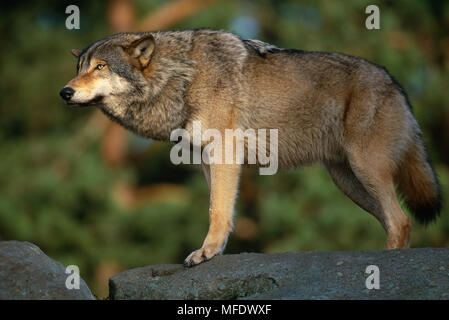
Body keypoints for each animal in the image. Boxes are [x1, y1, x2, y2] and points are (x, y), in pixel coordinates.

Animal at [59, 28, 440, 266]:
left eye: (100, 66)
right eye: (79, 67)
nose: (65, 91)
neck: (181, 76)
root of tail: (396, 83)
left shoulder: (224, 152)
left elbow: (217, 210)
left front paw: (205, 253)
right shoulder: (206, 159)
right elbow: (221, 210)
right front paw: (214, 251)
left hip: (365, 168)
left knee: (401, 220)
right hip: (348, 181)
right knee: (395, 221)